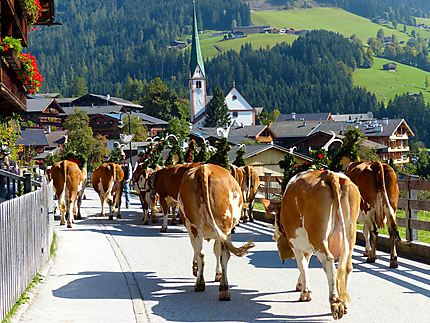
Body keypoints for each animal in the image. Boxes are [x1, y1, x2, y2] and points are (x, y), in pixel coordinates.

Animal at [178, 165, 255, 302]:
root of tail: (205, 168)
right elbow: (216, 251)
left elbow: (213, 250)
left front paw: (196, 268)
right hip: (220, 226)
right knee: (220, 254)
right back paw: (221, 288)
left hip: (196, 227)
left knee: (202, 253)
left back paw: (204, 284)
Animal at [262, 171, 360, 320]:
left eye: (276, 216)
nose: (274, 236)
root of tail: (329, 174)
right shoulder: (308, 246)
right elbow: (306, 263)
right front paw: (301, 284)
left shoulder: (296, 244)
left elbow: (301, 265)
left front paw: (305, 292)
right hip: (350, 234)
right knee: (346, 266)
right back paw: (343, 301)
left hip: (318, 237)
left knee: (329, 261)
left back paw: (336, 303)